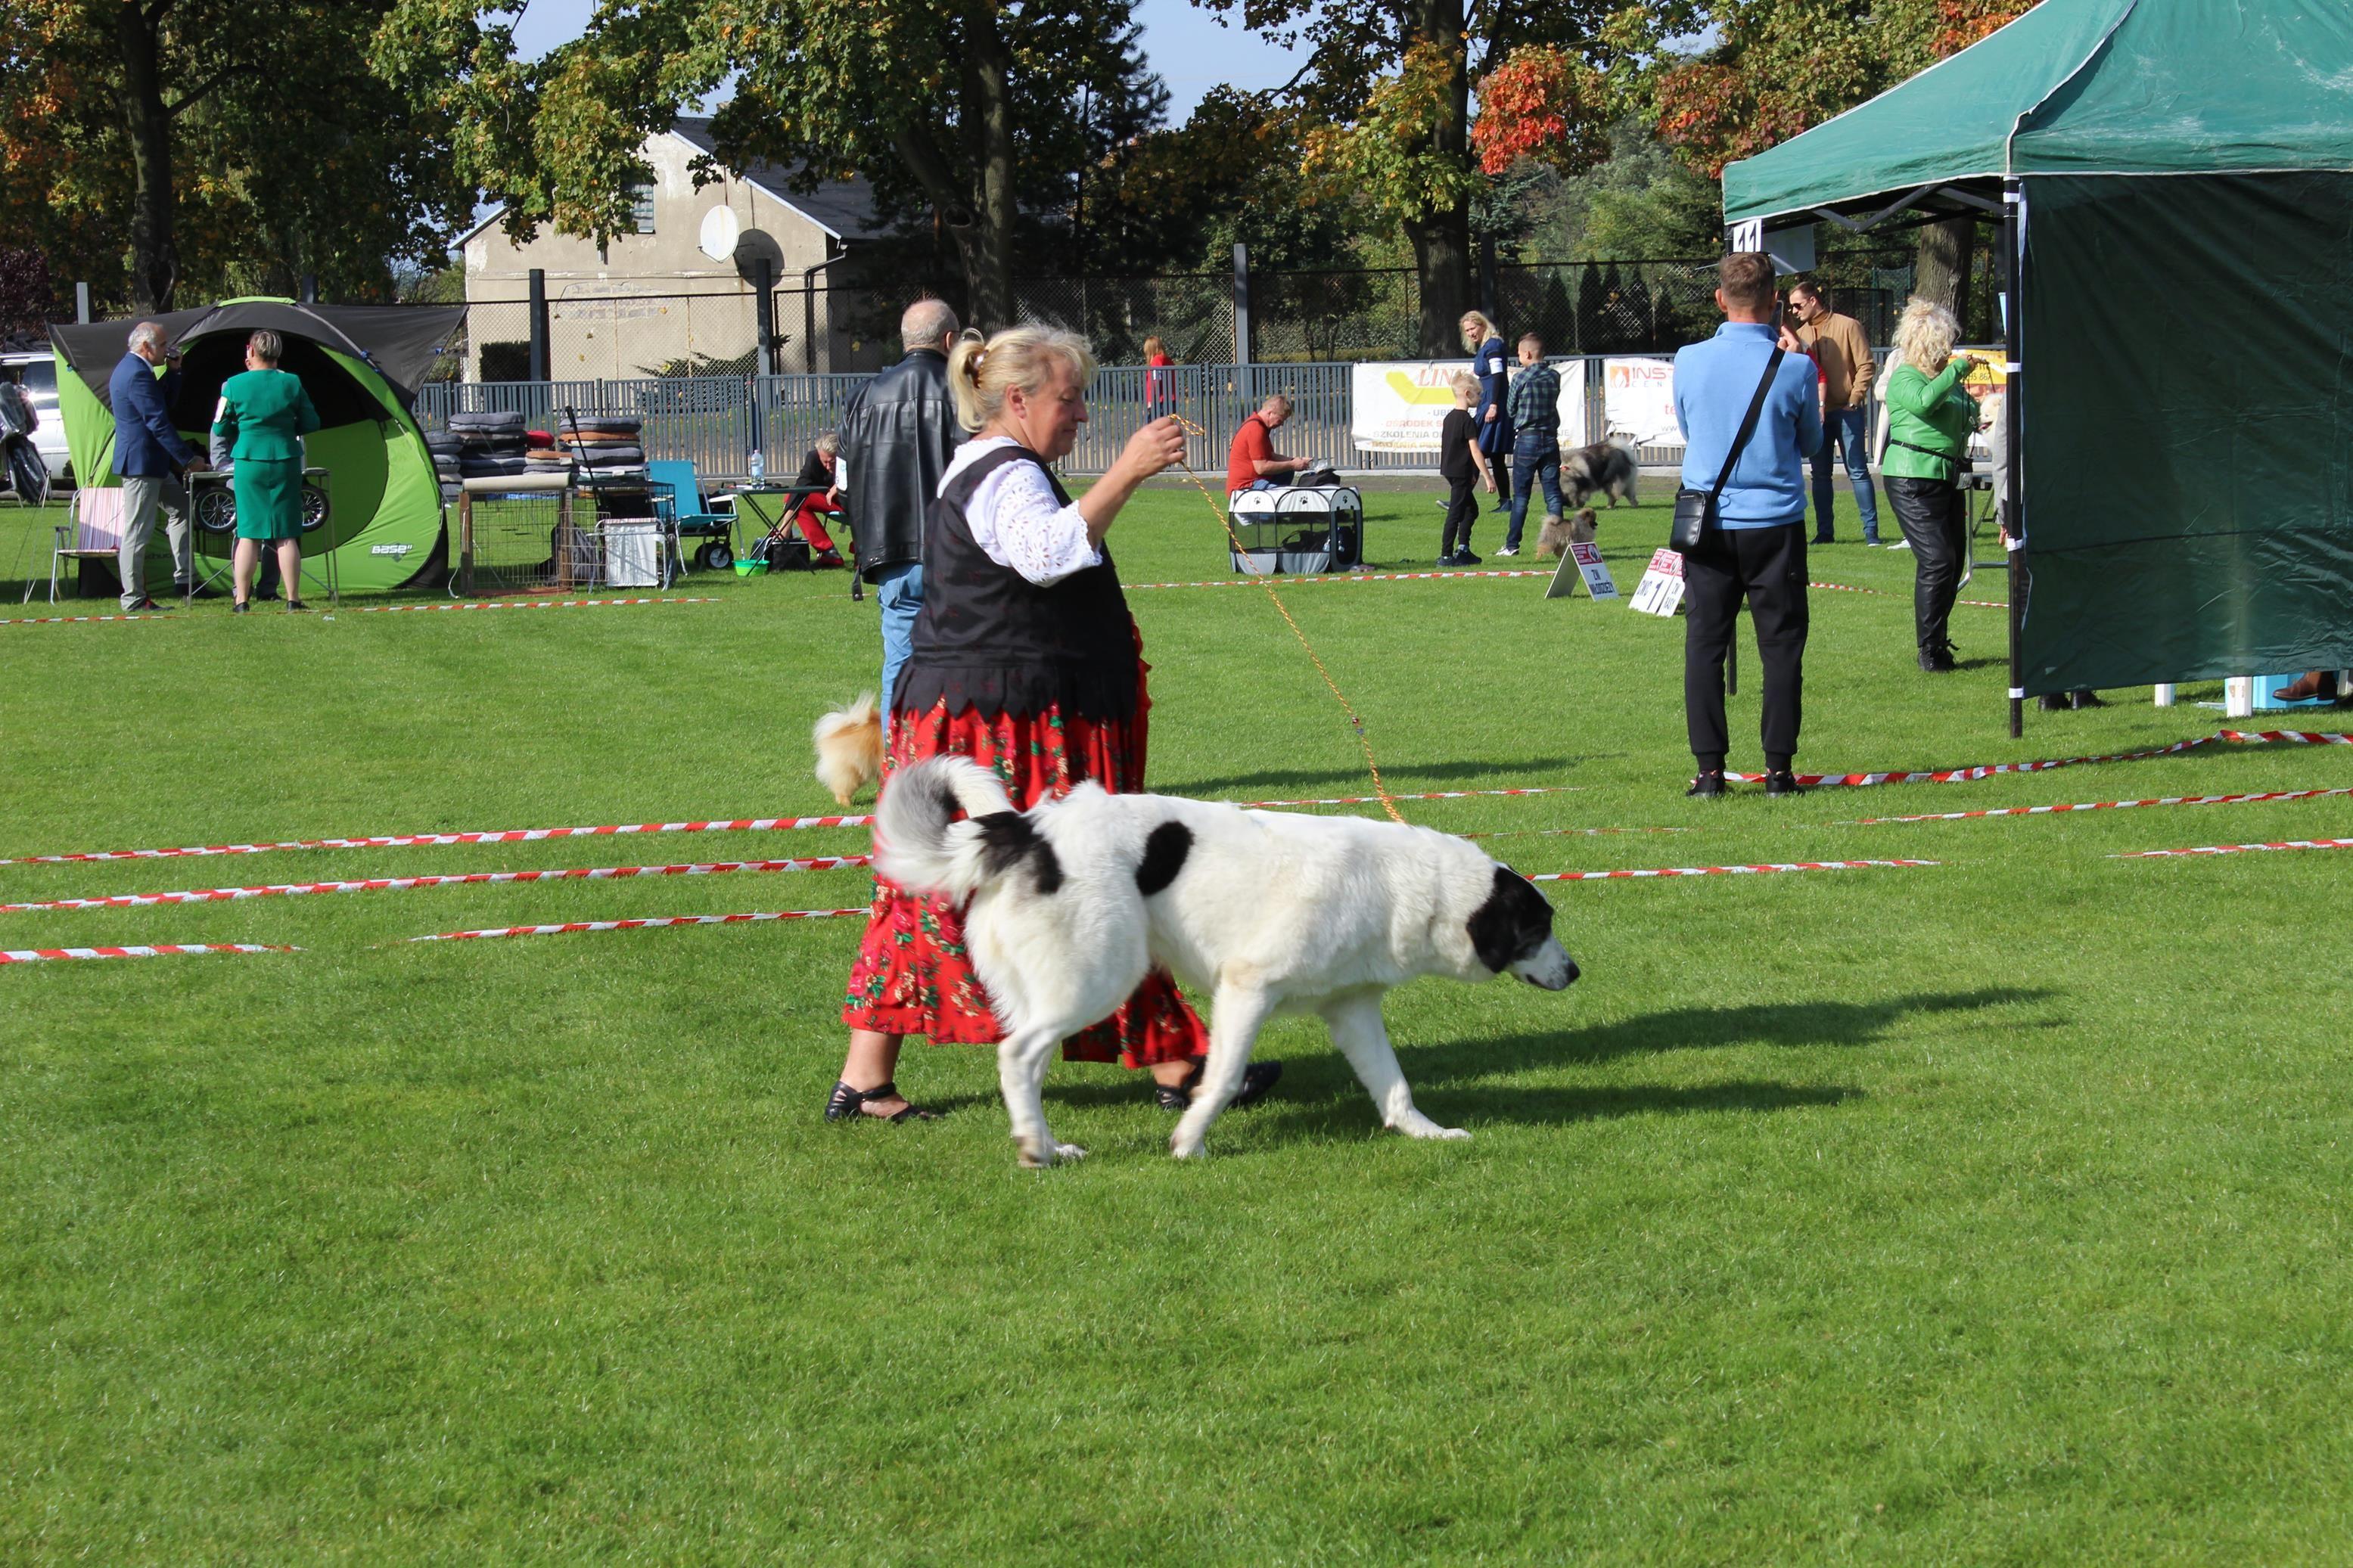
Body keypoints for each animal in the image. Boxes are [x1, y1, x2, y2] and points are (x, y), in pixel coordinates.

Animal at [870, 761, 1581, 1166]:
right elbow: (1222, 1075)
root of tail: (1025, 830)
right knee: (1017, 1056)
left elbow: (1395, 1085)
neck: (1406, 885)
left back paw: (1044, 1144)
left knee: (1029, 1064)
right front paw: (1190, 1141)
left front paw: (1425, 1133)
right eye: (1537, 927)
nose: (1575, 973)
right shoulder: (1247, 988)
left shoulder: (1351, 1009)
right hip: (1098, 977)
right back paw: (1034, 1149)